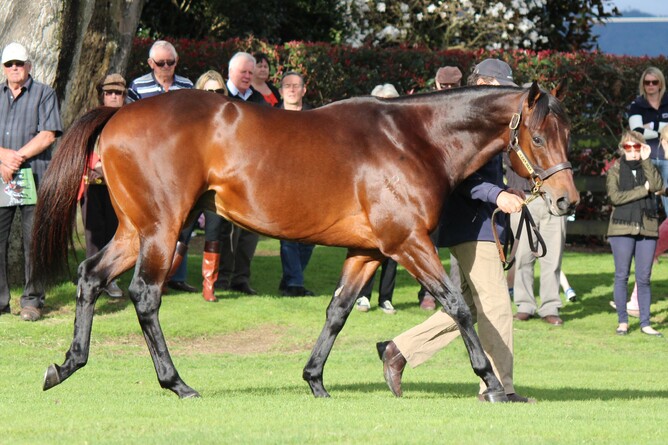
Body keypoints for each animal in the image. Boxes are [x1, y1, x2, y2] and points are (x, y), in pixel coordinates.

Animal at [32, 83, 578, 401]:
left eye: (567, 133)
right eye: (538, 137)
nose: (566, 200)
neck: (412, 139)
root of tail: (117, 115)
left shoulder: (368, 251)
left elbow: (337, 311)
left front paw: (315, 380)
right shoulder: (408, 243)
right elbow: (459, 306)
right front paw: (493, 383)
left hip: (136, 230)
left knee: (90, 277)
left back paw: (65, 365)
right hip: (163, 230)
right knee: (144, 296)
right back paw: (177, 384)